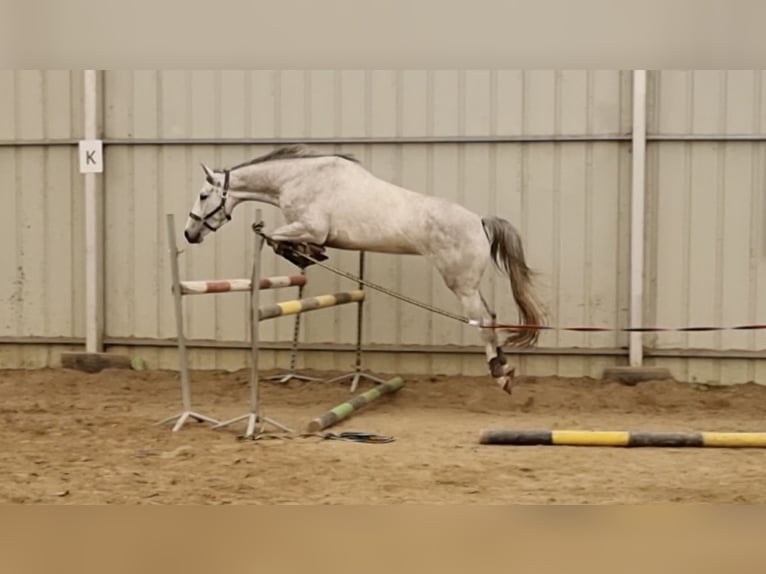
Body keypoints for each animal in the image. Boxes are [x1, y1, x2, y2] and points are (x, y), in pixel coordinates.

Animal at [183, 145, 544, 394]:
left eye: (202, 195)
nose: (190, 234)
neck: (297, 179)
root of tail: (479, 221)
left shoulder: (310, 227)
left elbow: (274, 237)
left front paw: (305, 253)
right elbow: (281, 242)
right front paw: (308, 255)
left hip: (461, 285)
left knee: (483, 323)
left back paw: (499, 375)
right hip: (469, 284)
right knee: (493, 318)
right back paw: (504, 367)